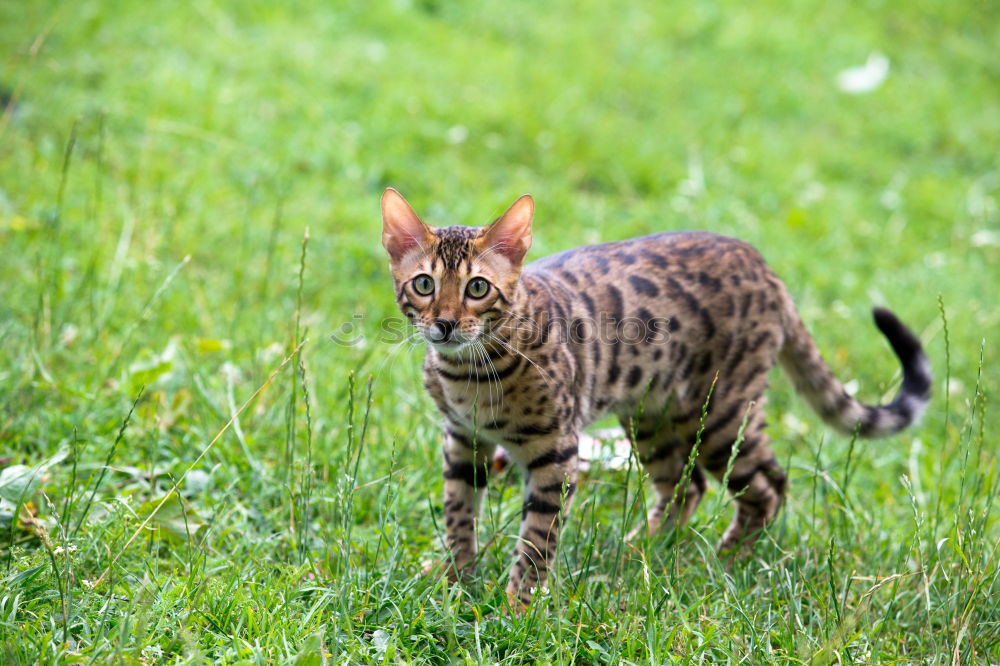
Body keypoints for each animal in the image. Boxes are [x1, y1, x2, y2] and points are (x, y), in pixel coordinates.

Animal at [378, 187, 932, 608]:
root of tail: (763, 265)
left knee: (769, 485)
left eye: (477, 288)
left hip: (722, 413)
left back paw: (725, 561)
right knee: (686, 488)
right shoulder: (461, 440)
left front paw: (517, 607)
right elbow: (458, 515)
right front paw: (457, 582)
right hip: (649, 414)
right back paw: (636, 554)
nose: (445, 324)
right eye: (424, 284)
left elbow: (536, 539)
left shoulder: (557, 452)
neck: (470, 374)